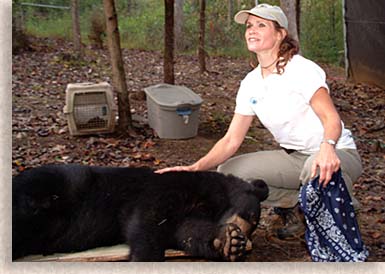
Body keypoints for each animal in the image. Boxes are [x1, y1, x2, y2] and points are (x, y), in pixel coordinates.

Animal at [12, 164, 268, 262]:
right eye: (252, 218)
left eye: (253, 227)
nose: (246, 240)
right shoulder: (168, 187)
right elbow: (148, 217)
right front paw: (145, 257)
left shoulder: (191, 214)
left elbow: (187, 231)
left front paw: (229, 242)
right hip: (61, 184)